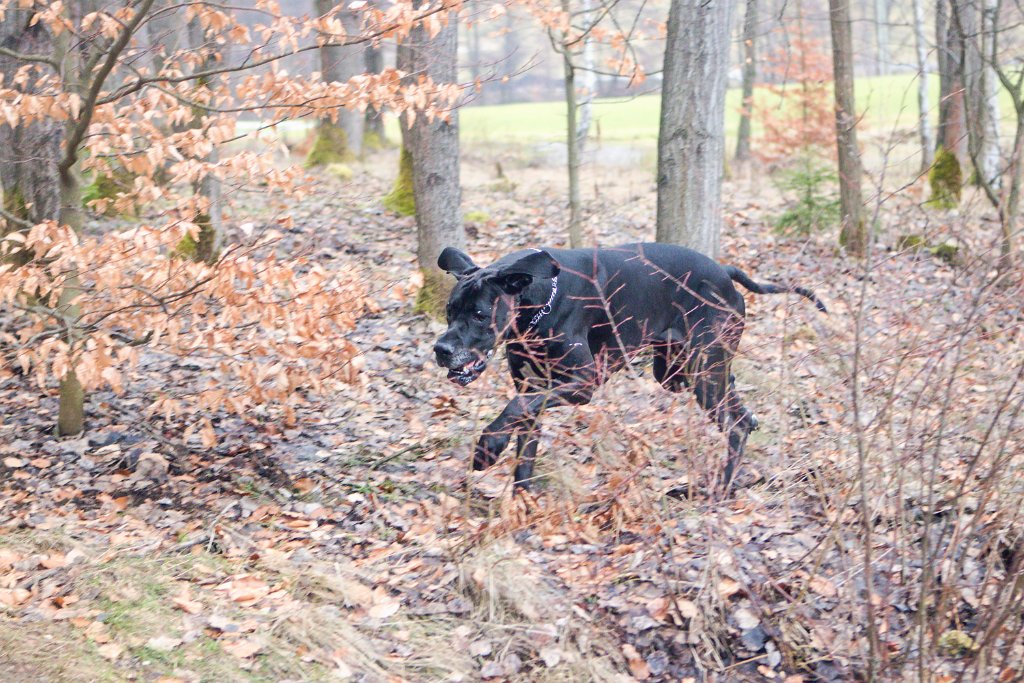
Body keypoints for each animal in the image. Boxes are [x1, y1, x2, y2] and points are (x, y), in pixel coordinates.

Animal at [432, 242, 823, 493]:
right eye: (449, 310)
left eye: (480, 314)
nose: (441, 349)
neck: (539, 300)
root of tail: (725, 273)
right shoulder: (532, 385)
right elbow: (524, 435)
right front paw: (522, 503)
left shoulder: (582, 383)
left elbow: (516, 409)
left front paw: (488, 446)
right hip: (678, 372)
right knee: (739, 408)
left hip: (701, 370)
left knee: (736, 426)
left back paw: (718, 491)